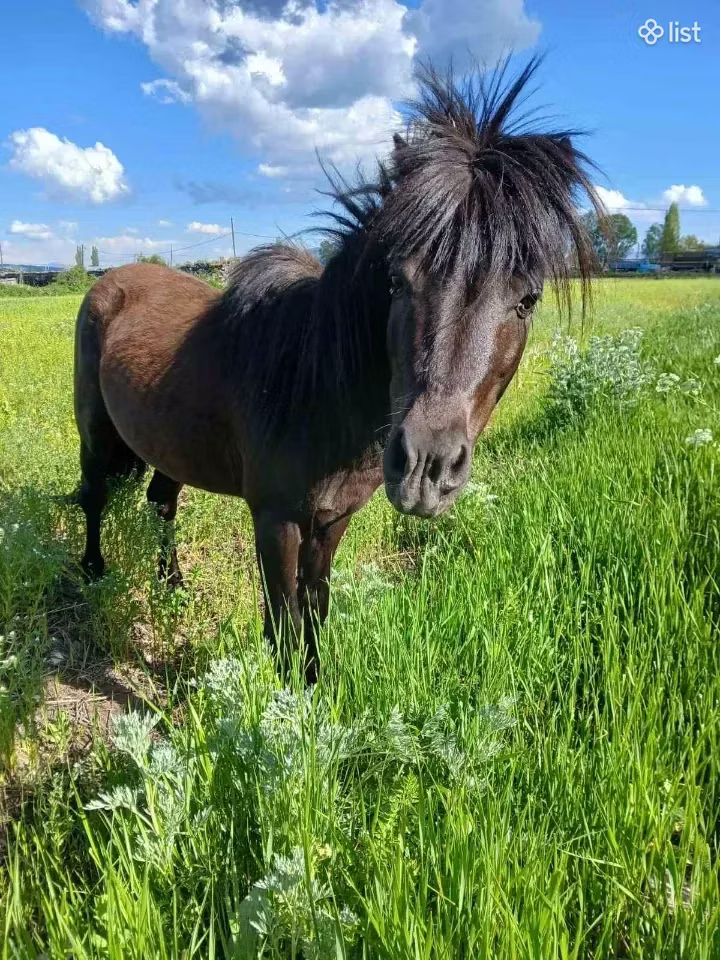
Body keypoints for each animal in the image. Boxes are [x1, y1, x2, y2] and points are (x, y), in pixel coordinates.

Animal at [71, 59, 600, 682]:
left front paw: (317, 683)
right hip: (95, 431)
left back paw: (172, 586)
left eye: (528, 299)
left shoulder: (332, 519)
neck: (313, 387)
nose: (425, 470)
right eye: (396, 280)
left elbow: (314, 606)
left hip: (168, 441)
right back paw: (93, 573)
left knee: (161, 501)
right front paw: (287, 694)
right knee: (95, 495)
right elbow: (282, 619)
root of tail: (112, 279)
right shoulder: (276, 520)